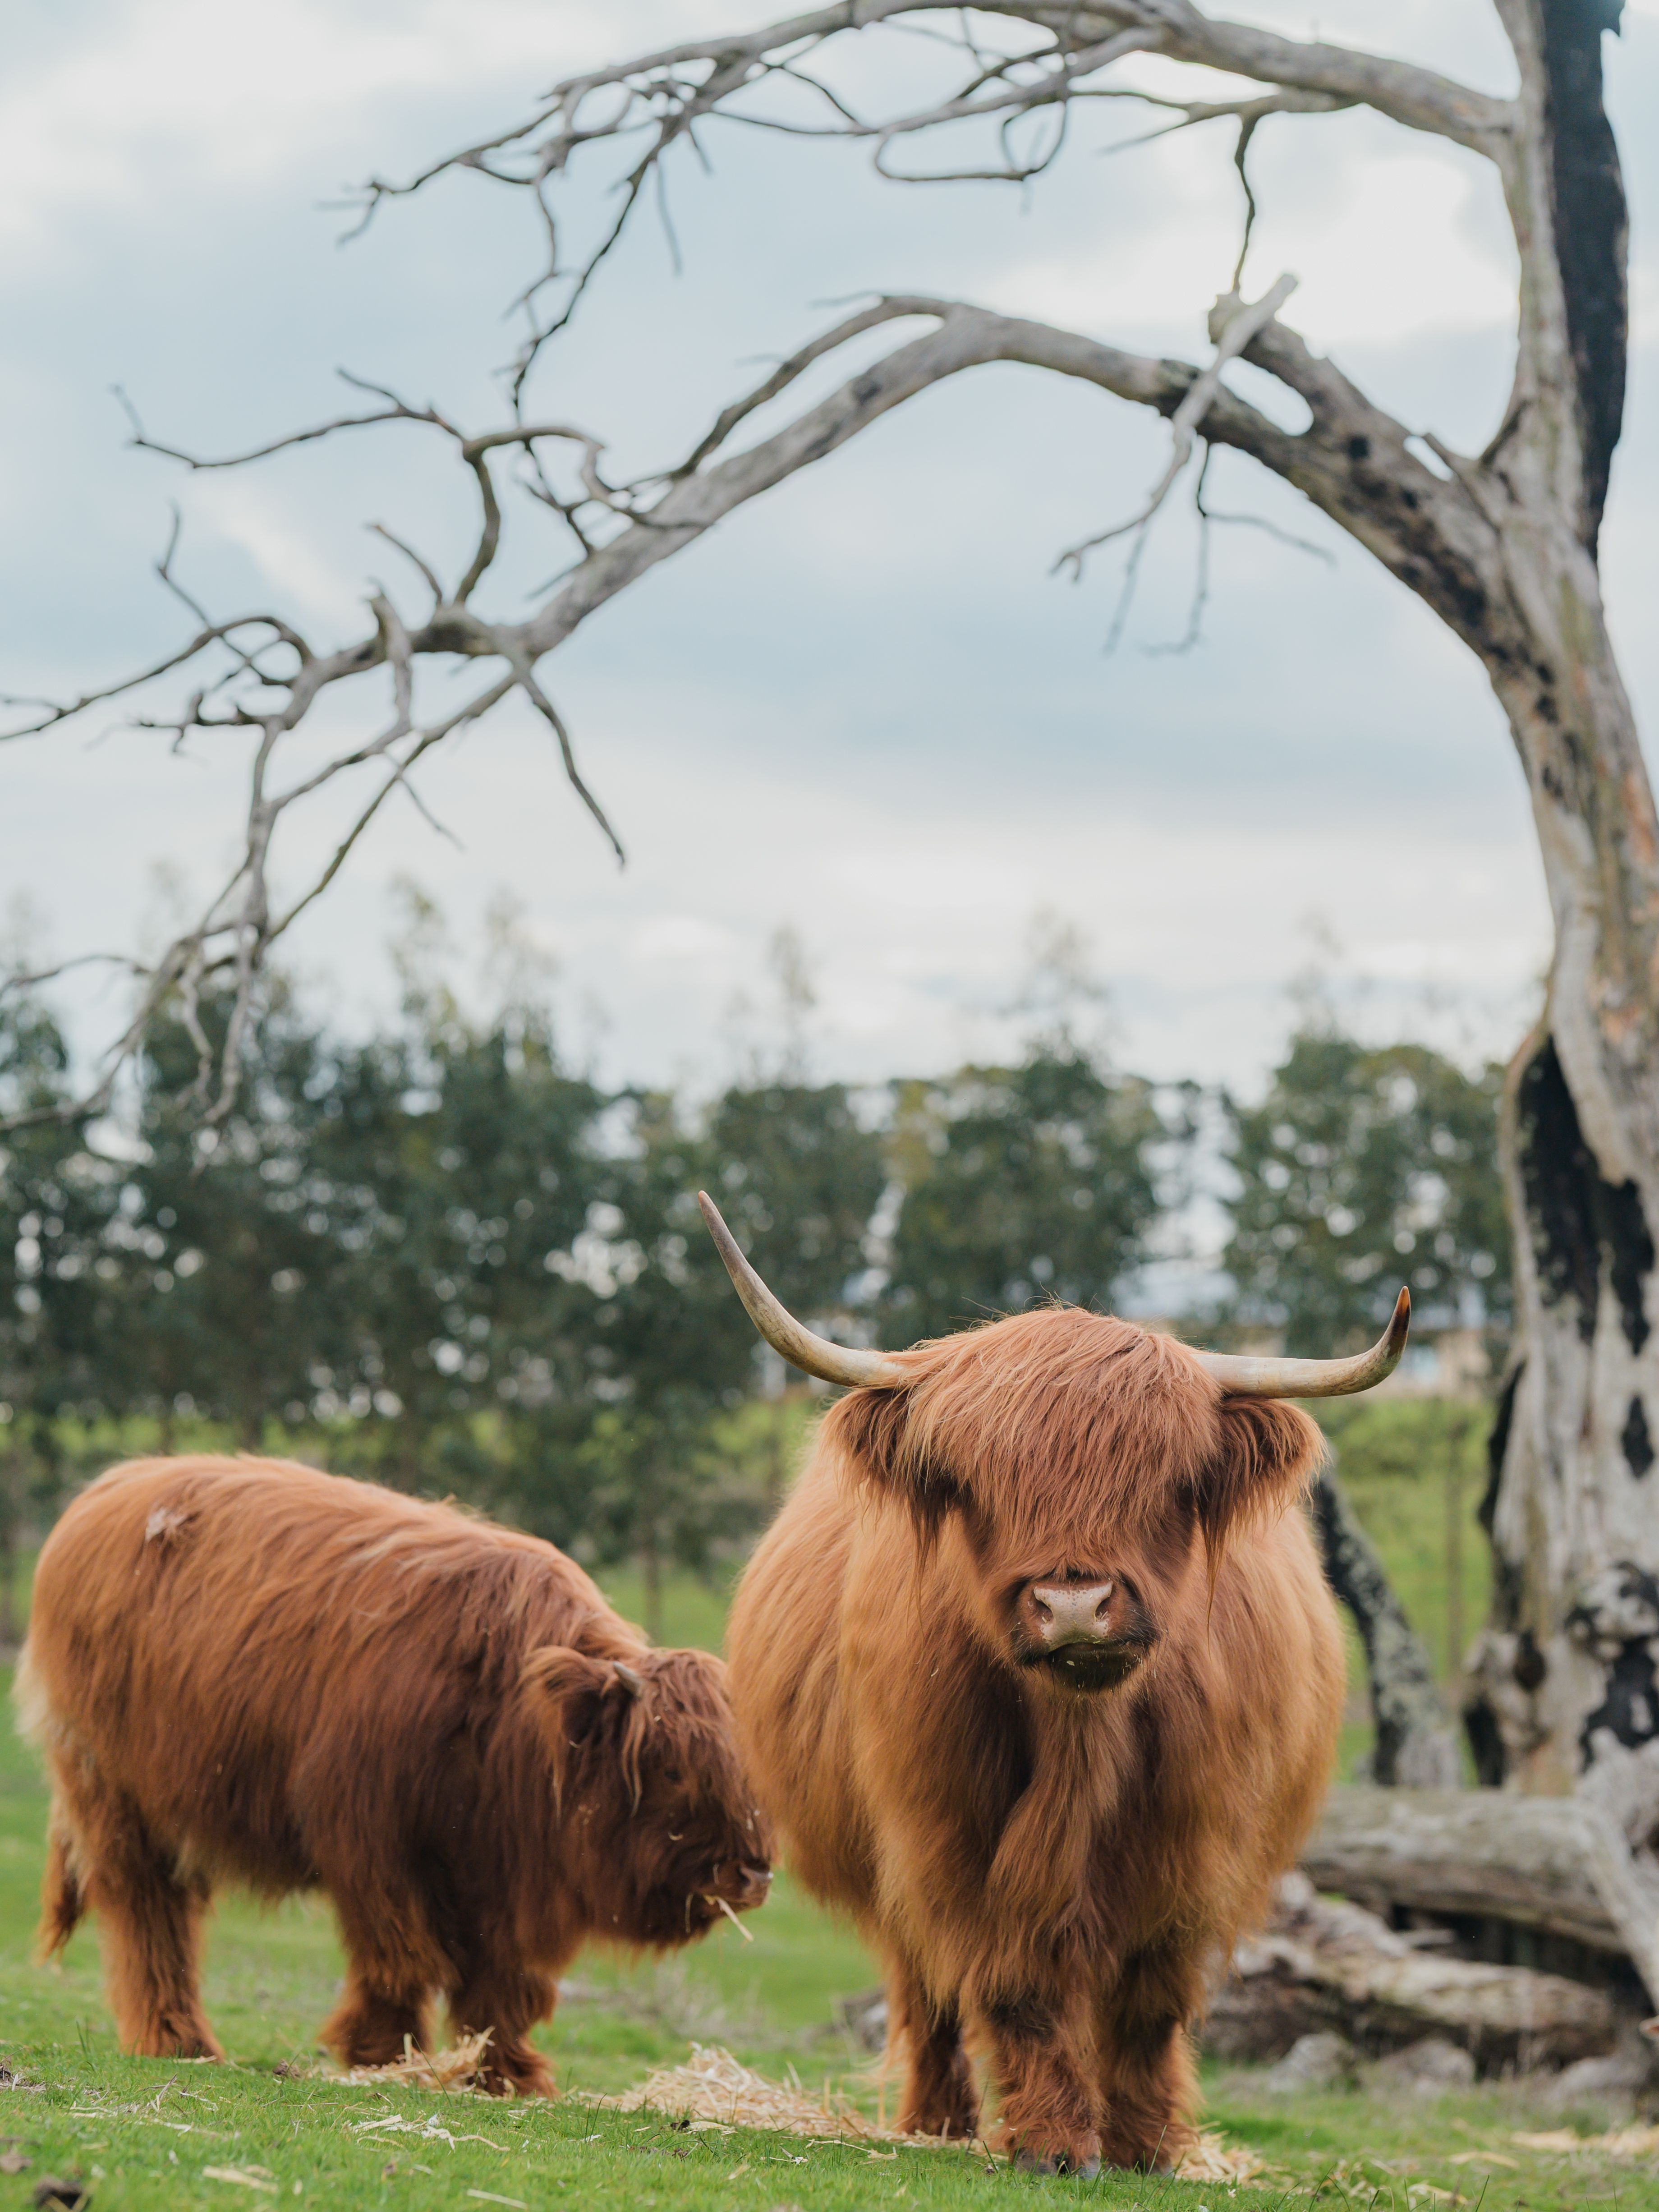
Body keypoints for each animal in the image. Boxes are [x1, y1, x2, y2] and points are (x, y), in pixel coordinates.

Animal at [17, 1455, 772, 2093]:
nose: (754, 1872)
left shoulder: (506, 1874)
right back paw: (178, 2041)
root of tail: (108, 1491)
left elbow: (504, 1982)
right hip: (114, 1795)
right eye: (671, 1767)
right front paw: (383, 2053)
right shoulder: (372, 1841)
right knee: (147, 1913)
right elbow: (401, 1956)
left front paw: (504, 2073)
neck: (507, 1717)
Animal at [701, 1190, 1406, 2176]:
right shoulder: (950, 1836)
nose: (1073, 1603)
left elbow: (1149, 2000)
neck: (1083, 1737)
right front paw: (1053, 2142)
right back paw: (936, 2121)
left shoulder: (1193, 1843)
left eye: (1166, 1478)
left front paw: (1147, 2145)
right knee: (925, 1991)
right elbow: (1015, 1986)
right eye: (975, 1482)